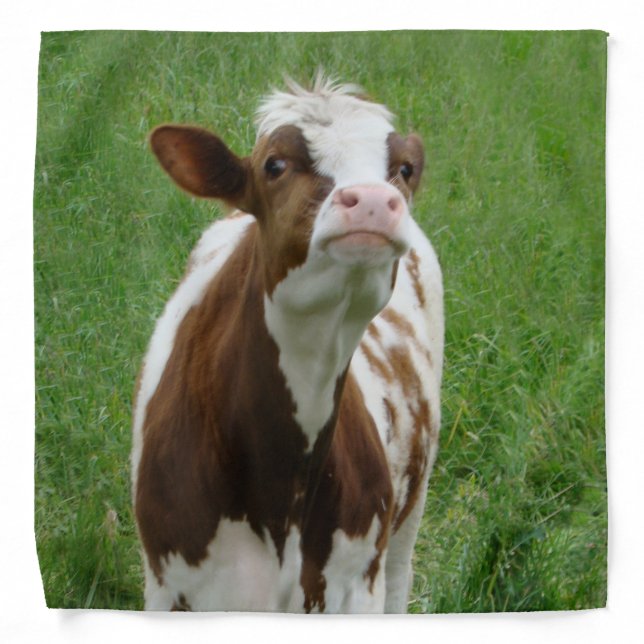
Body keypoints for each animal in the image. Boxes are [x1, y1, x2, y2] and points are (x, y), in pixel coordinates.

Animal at [131, 76, 444, 613]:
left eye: (403, 168)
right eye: (274, 165)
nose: (373, 199)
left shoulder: (357, 583)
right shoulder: (171, 587)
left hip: (409, 516)